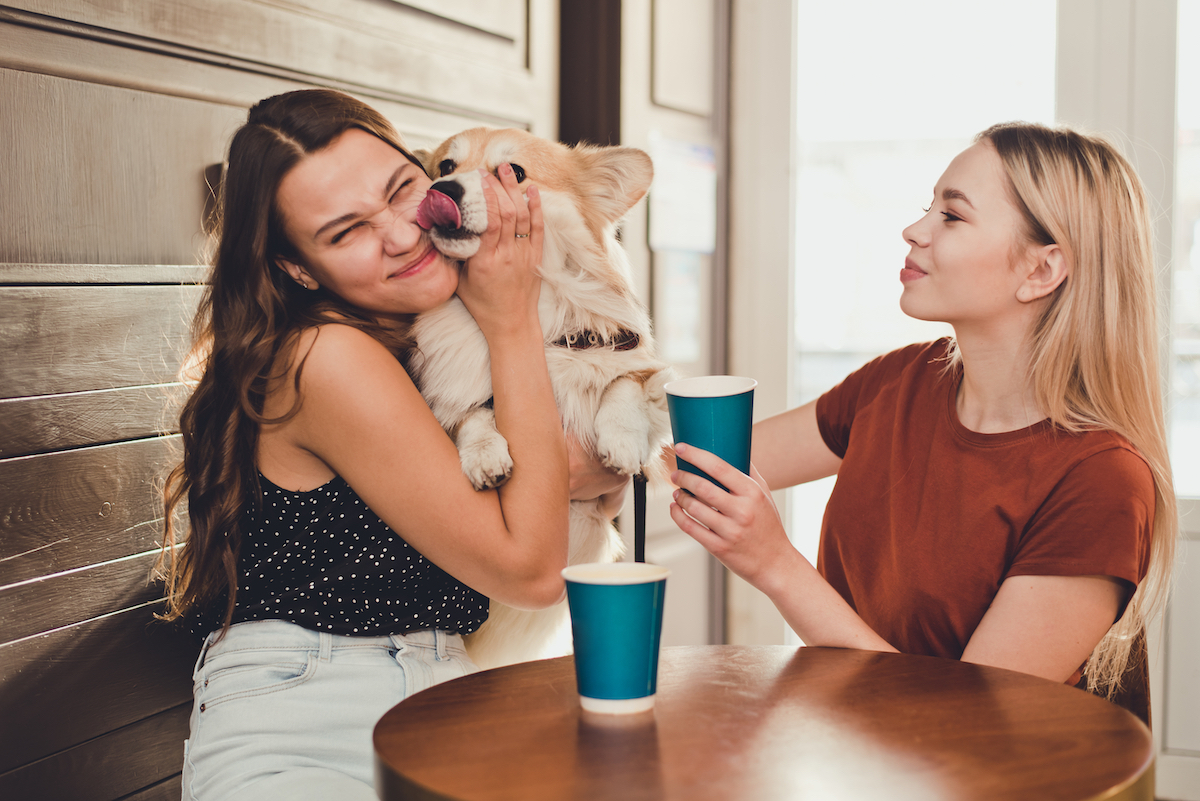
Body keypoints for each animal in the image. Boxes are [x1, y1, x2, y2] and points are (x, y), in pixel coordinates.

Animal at [410, 128, 676, 666]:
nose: (443, 190)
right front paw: (485, 455)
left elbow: (622, 385)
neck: (538, 321)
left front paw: (620, 440)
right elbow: (472, 414)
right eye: (445, 166)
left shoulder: (648, 375)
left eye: (513, 173)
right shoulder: (448, 399)